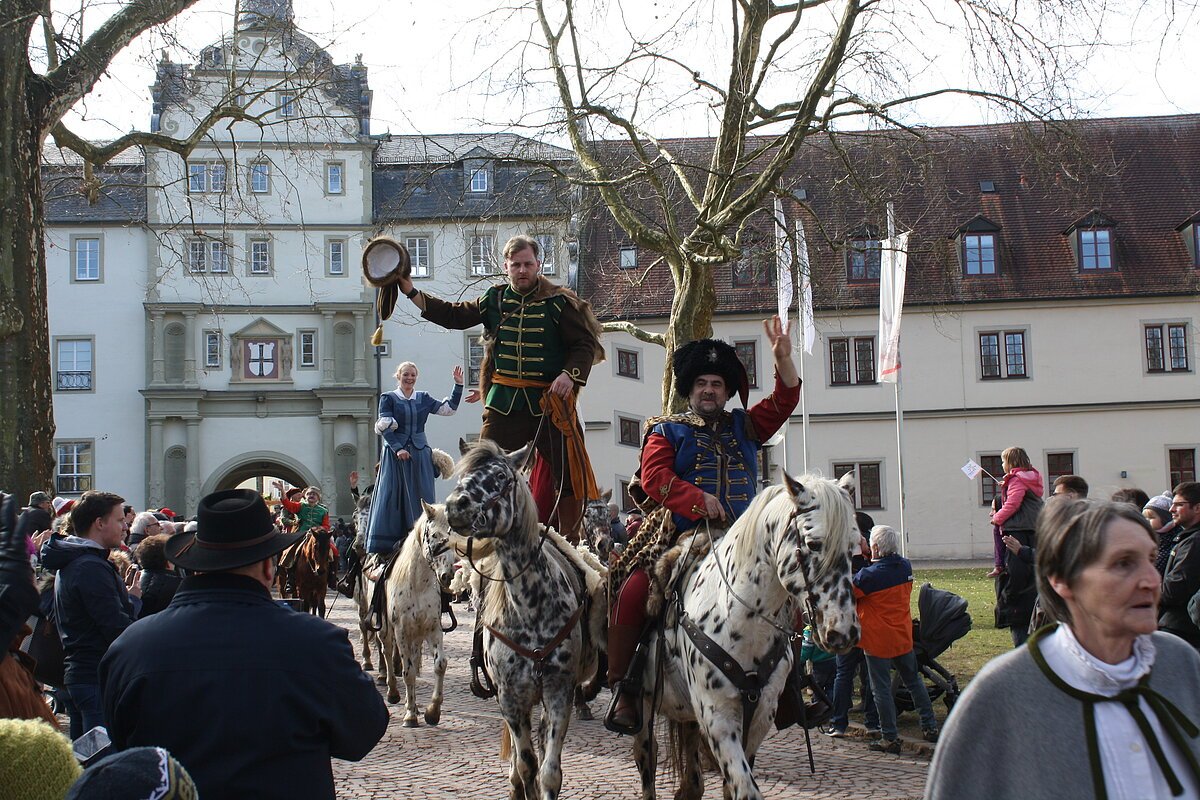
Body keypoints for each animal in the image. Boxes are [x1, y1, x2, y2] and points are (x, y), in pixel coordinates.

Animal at [446, 438, 595, 800]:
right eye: (462, 474)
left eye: (500, 476)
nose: (454, 506)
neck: (531, 607)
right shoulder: (511, 698)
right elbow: (527, 765)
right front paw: (521, 782)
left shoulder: (558, 692)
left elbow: (549, 771)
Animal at [633, 472, 859, 800]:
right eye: (813, 544)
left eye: (854, 548)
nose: (843, 632)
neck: (741, 619)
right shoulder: (718, 717)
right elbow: (746, 788)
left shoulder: (760, 715)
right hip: (643, 711)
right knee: (646, 758)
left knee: (692, 778)